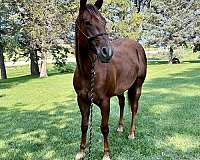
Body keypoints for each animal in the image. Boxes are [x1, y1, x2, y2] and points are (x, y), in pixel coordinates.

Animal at [73, 0, 147, 159]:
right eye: (87, 22)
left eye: (104, 22)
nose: (107, 52)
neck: (89, 73)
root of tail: (137, 46)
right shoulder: (81, 100)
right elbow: (84, 125)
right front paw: (81, 151)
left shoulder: (104, 102)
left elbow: (104, 127)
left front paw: (106, 154)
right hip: (120, 89)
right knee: (122, 103)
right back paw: (120, 127)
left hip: (137, 86)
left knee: (134, 107)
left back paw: (131, 133)